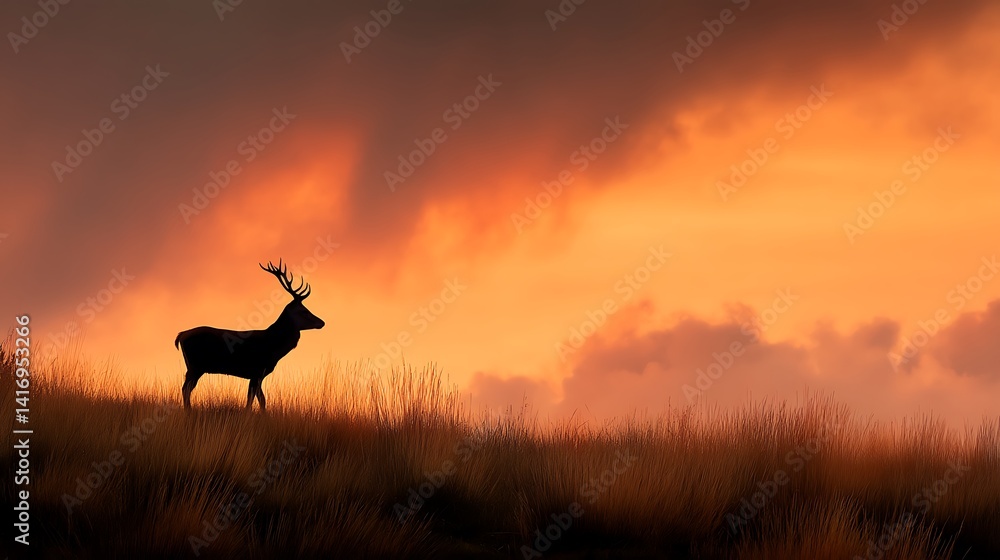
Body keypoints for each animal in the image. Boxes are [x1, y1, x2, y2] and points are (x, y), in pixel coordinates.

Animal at [174, 260, 325, 411]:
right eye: (303, 310)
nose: (322, 322)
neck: (274, 347)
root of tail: (181, 335)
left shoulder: (257, 375)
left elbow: (259, 400)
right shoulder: (256, 371)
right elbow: (254, 400)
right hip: (195, 366)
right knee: (186, 389)